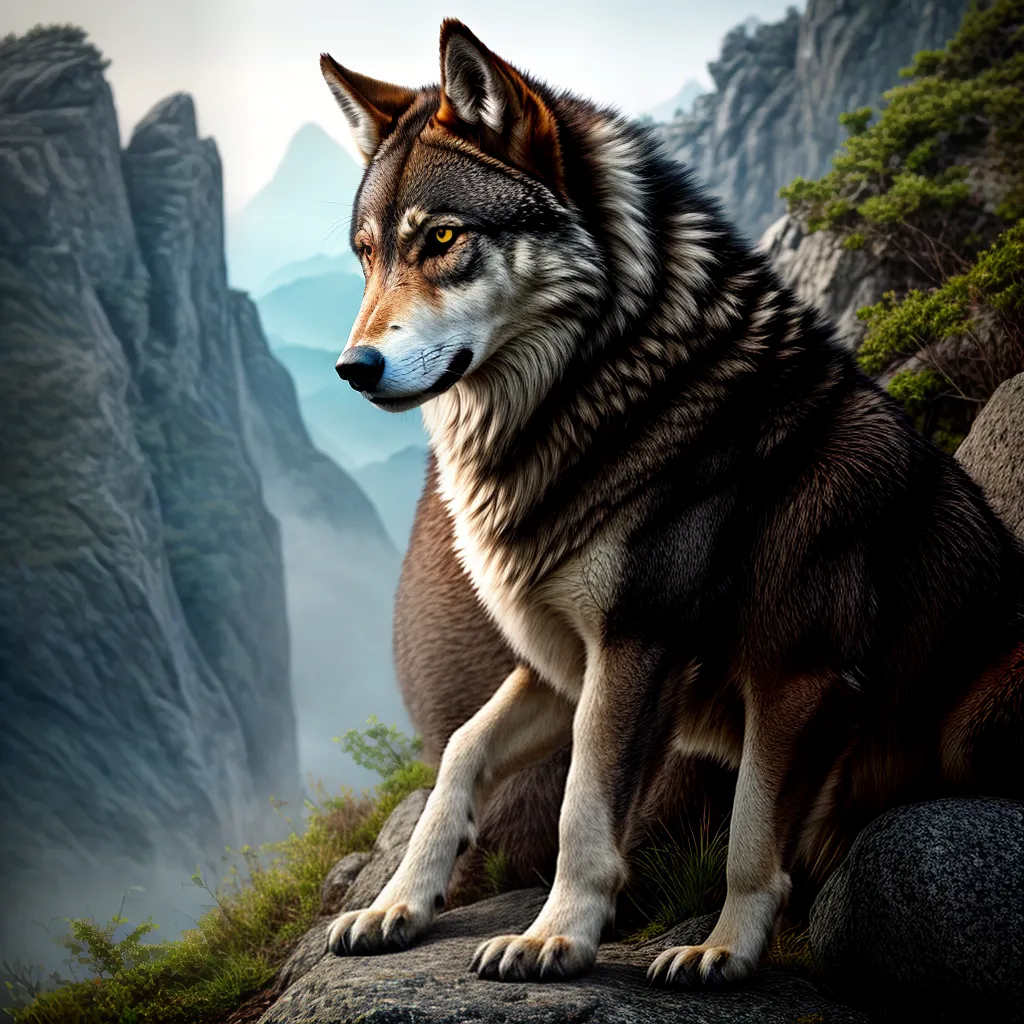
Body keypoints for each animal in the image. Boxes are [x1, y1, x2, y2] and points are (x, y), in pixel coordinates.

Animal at [319, 20, 1024, 987]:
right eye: (366, 253)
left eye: (444, 239)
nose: (351, 369)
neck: (605, 391)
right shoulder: (562, 663)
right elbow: (461, 751)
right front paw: (398, 904)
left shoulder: (719, 662)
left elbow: (645, 819)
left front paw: (593, 939)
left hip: (975, 722)